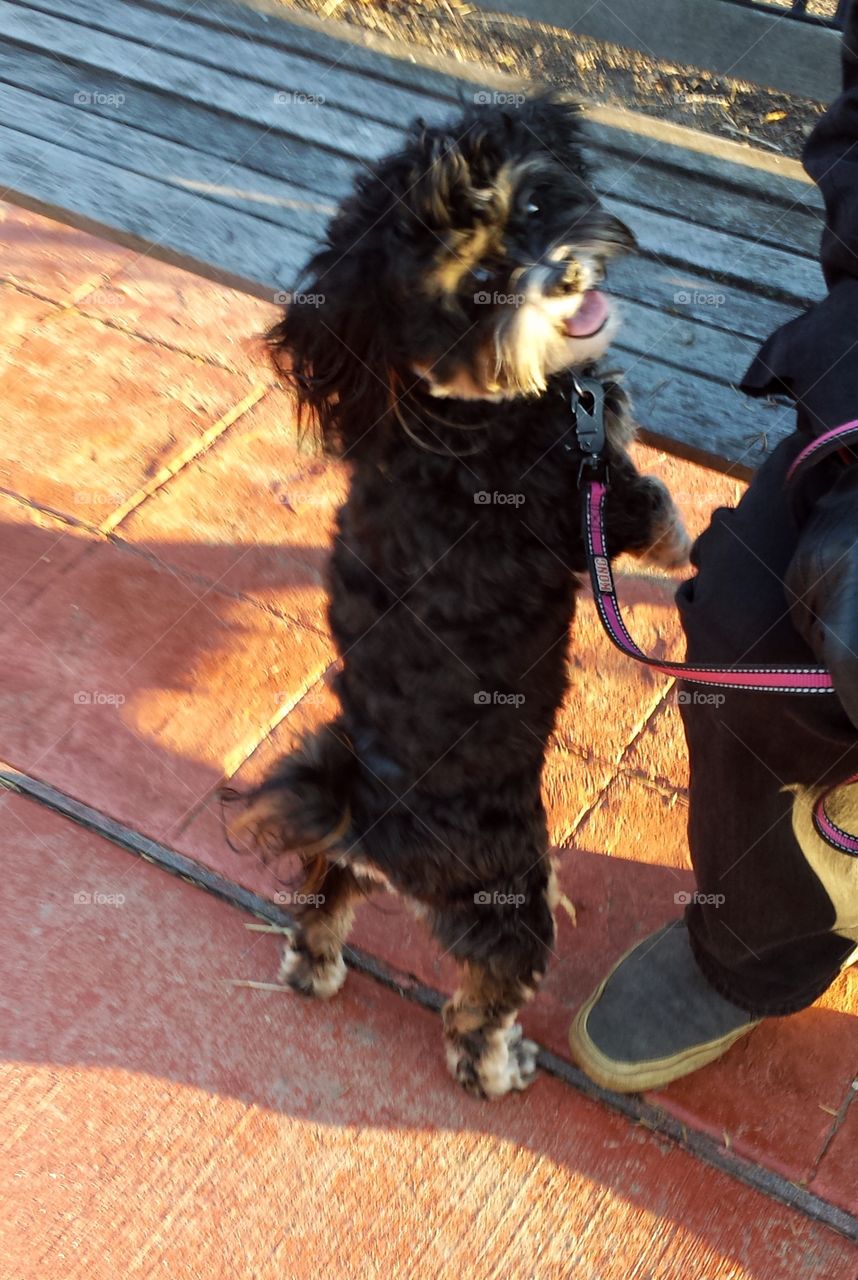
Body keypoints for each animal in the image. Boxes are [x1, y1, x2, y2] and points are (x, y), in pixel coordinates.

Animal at [230, 92, 691, 1100]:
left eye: (532, 207)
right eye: (478, 280)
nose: (565, 273)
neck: (460, 405)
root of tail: (369, 812)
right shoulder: (587, 490)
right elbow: (652, 503)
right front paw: (682, 546)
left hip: (348, 867)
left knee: (323, 900)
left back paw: (312, 966)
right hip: (507, 901)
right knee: (480, 1003)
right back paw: (497, 1064)